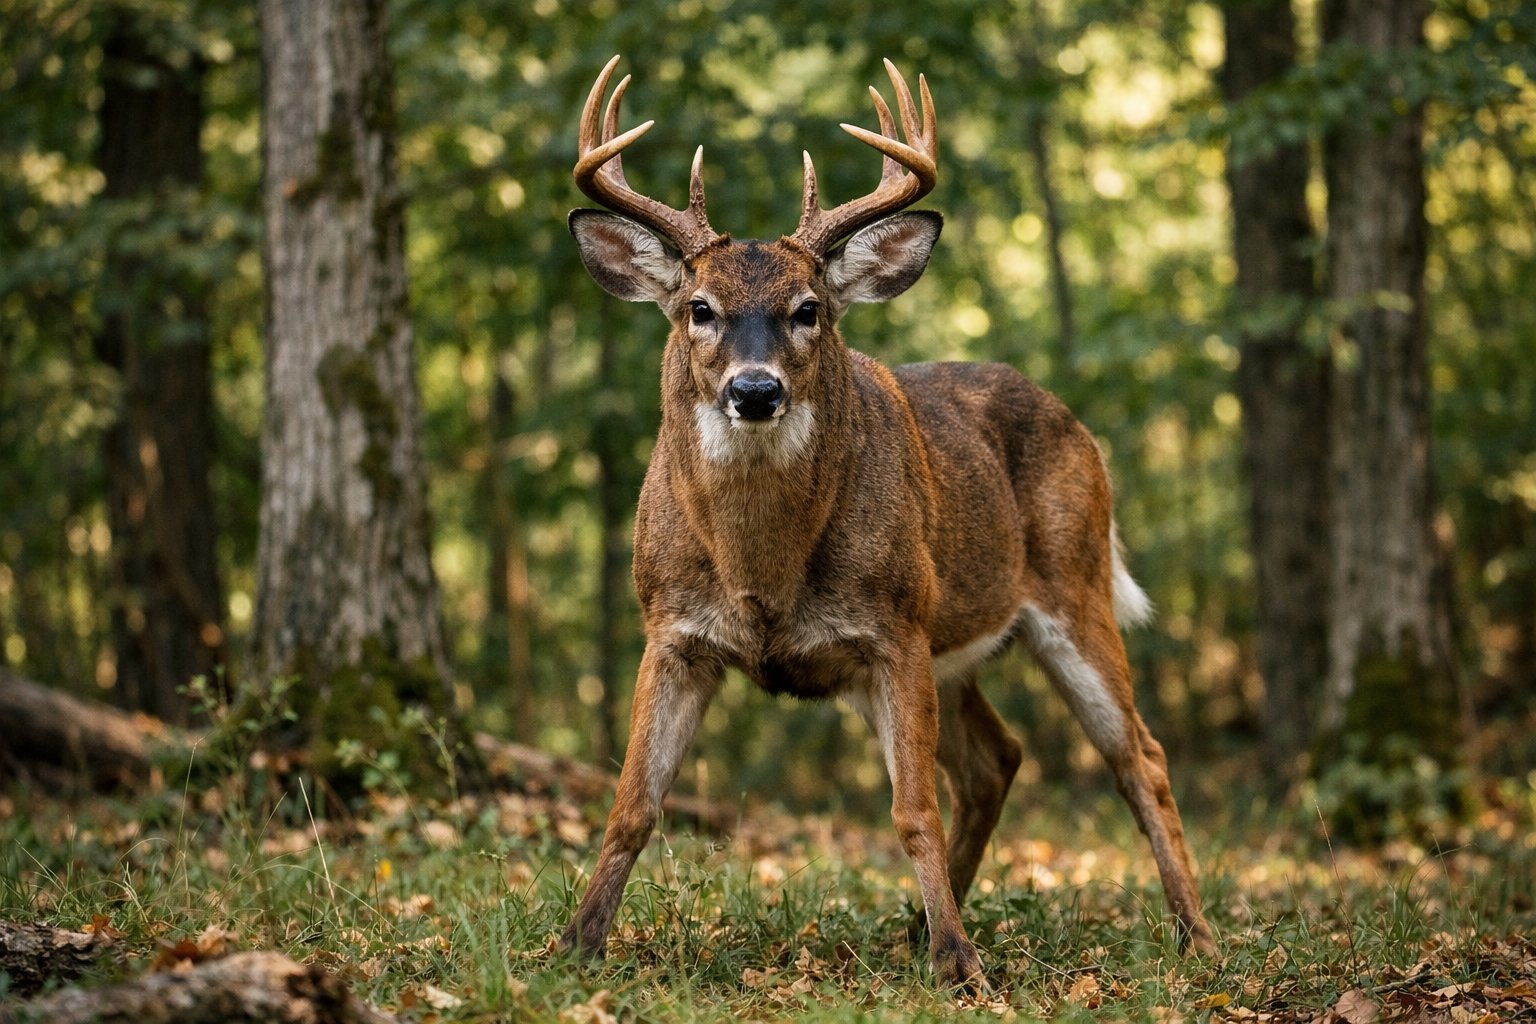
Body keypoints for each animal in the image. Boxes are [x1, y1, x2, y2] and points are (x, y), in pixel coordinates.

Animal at [558, 55, 1216, 987]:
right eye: (698, 308)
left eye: (808, 308)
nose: (754, 390)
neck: (762, 570)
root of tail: (1076, 424)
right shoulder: (671, 627)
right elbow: (630, 804)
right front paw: (575, 945)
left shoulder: (895, 626)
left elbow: (912, 812)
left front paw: (962, 967)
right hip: (951, 650)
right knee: (997, 758)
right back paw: (915, 926)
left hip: (1073, 586)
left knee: (1139, 758)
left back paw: (1198, 935)